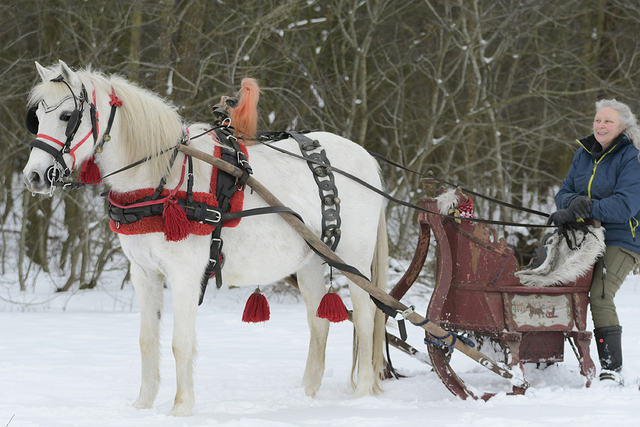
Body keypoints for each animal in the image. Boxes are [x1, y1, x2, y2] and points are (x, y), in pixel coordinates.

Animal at [22, 61, 388, 418]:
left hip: (352, 258)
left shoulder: (185, 273)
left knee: (366, 316)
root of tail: (368, 160)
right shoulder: (144, 272)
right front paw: (142, 405)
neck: (162, 180)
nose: (34, 176)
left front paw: (181, 407)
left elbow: (180, 343)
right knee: (318, 323)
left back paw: (362, 393)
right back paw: (307, 395)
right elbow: (146, 341)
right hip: (310, 259)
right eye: (36, 117)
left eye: (66, 116)